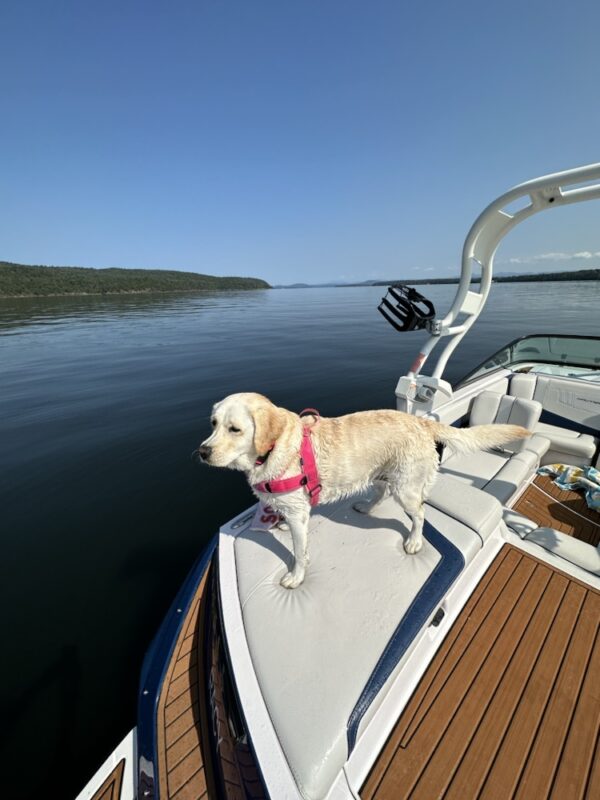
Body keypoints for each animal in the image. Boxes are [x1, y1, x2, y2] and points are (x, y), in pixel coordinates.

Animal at [195, 392, 528, 588]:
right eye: (213, 423)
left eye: (235, 429)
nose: (202, 452)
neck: (274, 449)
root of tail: (422, 422)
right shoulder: (290, 507)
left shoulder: (298, 513)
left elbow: (300, 553)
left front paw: (296, 577)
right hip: (380, 474)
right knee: (380, 494)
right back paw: (366, 507)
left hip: (405, 489)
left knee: (419, 514)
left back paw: (413, 541)